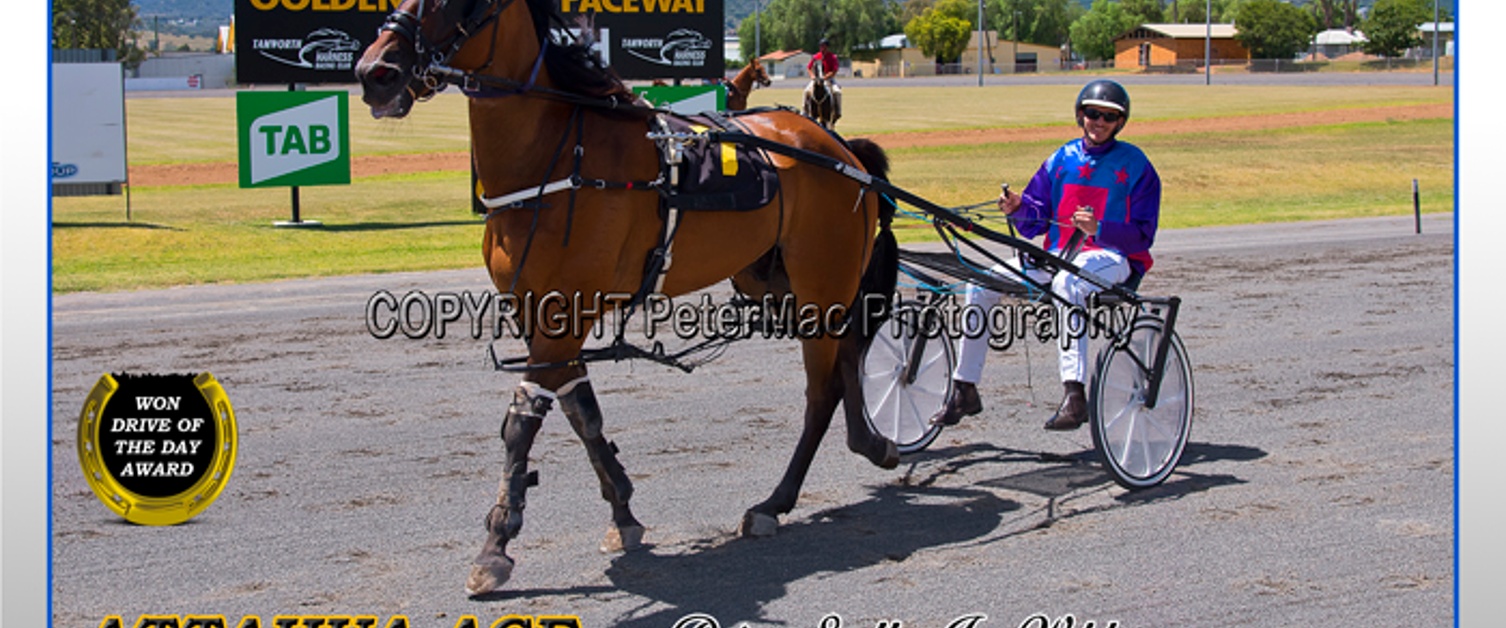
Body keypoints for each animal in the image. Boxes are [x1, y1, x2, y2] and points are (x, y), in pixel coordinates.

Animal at [352, 0, 891, 593]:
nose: (376, 72)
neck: (558, 155)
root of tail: (841, 150)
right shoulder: (540, 313)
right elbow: (581, 411)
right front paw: (623, 512)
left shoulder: (564, 312)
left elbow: (522, 422)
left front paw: (495, 546)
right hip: (777, 279)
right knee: (849, 354)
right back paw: (869, 443)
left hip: (821, 282)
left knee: (822, 392)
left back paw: (775, 502)